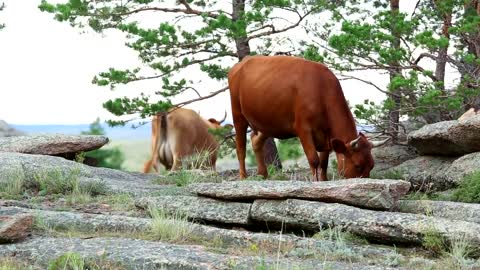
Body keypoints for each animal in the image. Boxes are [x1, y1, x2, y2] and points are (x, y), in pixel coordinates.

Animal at [228, 54, 386, 181]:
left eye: (372, 165)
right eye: (358, 165)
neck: (321, 89)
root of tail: (242, 63)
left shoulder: (326, 135)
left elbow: (323, 162)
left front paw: (324, 181)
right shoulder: (303, 129)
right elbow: (314, 160)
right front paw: (315, 182)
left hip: (267, 122)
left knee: (255, 141)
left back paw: (263, 175)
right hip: (238, 114)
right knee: (240, 148)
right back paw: (243, 177)